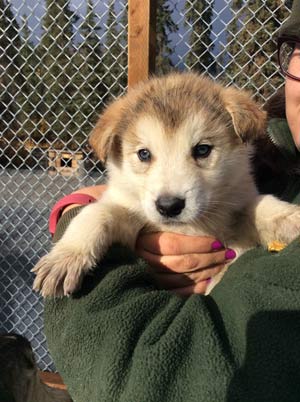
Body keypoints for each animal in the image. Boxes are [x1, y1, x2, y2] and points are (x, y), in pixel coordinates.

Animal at [31, 74, 300, 296]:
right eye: (144, 154)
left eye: (202, 150)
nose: (169, 206)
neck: (192, 226)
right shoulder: (129, 219)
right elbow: (96, 213)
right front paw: (66, 257)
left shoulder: (236, 212)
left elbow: (261, 206)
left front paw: (291, 217)